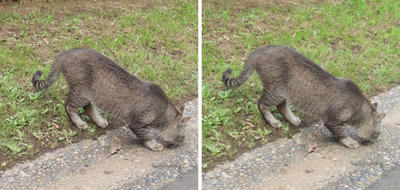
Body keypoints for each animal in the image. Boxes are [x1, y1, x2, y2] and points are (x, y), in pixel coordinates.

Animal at [32, 48, 188, 151]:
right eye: (181, 136)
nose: (181, 143)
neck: (162, 109)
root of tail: (65, 53)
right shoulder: (135, 123)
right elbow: (146, 135)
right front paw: (154, 144)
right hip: (81, 93)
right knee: (68, 106)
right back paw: (79, 123)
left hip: (90, 94)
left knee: (88, 107)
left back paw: (100, 122)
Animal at [222, 45, 384, 148]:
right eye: (377, 132)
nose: (377, 139)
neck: (357, 106)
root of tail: (259, 50)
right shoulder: (331, 119)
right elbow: (341, 132)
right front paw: (349, 141)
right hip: (275, 90)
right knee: (262, 104)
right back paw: (273, 121)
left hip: (285, 92)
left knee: (281, 106)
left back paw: (293, 119)